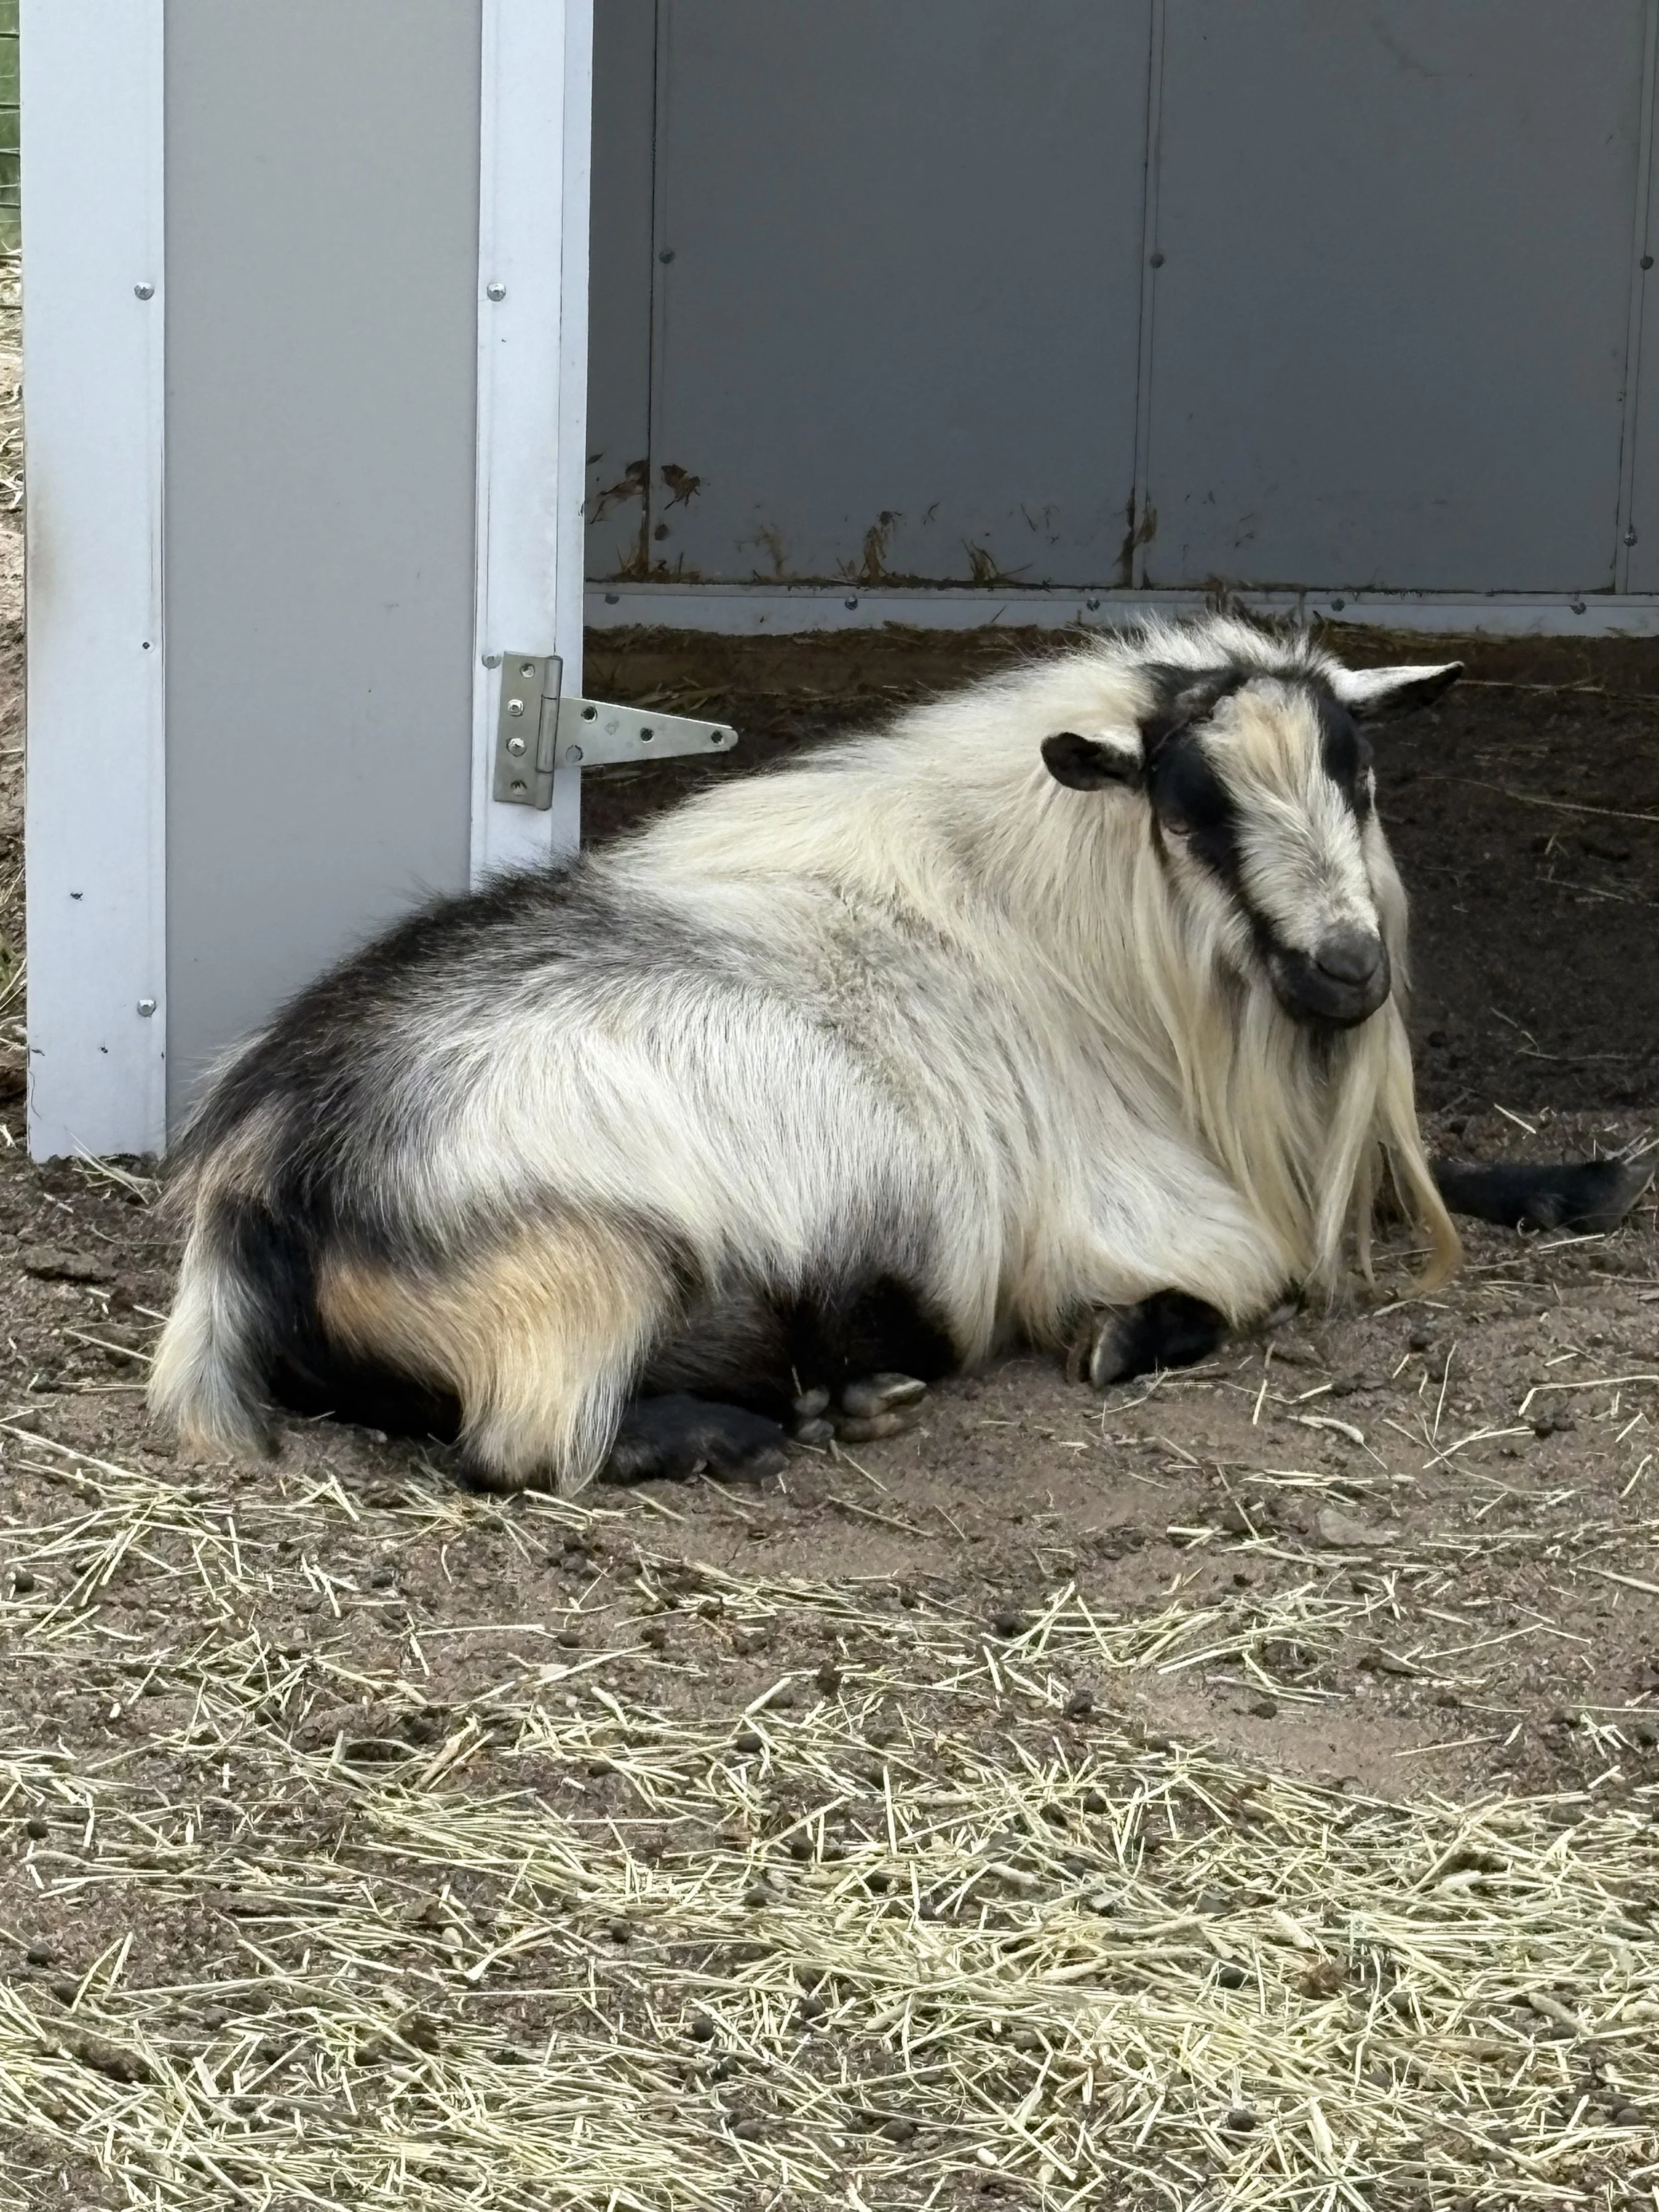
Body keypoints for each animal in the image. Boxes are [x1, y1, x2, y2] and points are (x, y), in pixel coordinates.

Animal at [150, 617, 1651, 1490]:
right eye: (1192, 804)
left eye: (1360, 773)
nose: (1347, 969)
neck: (1066, 939)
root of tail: (258, 1166)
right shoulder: (1145, 1214)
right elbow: (1240, 1284)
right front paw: (1124, 1337)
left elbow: (1425, 1180)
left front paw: (1586, 1179)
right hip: (589, 1259)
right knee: (523, 1444)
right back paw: (780, 1417)